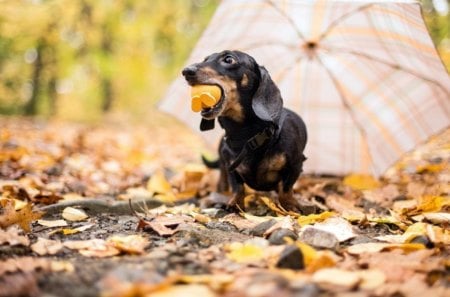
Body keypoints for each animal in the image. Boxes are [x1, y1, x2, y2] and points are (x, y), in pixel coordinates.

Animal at [182, 49, 306, 210]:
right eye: (205, 59)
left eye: (229, 59)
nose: (186, 71)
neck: (245, 135)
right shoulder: (230, 166)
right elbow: (238, 187)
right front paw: (235, 203)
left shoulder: (296, 164)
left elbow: (286, 188)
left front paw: (289, 206)